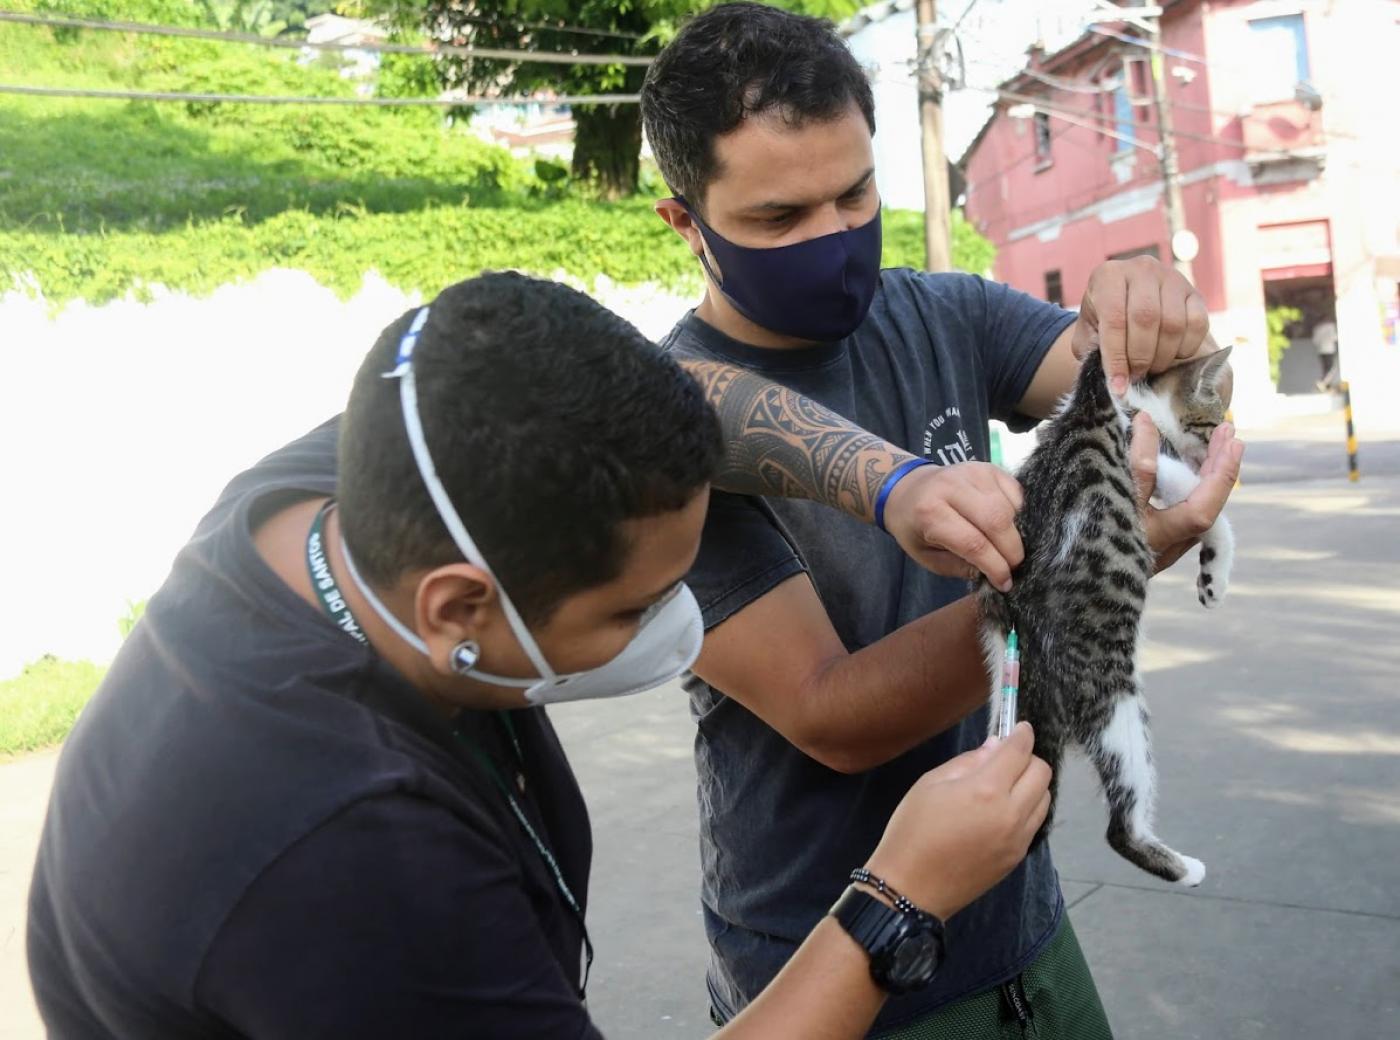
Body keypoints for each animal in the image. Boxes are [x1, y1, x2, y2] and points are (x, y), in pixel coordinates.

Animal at [980, 349, 1232, 884]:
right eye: (1214, 418)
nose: (1227, 431)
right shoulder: (1151, 455)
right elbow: (1205, 504)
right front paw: (1215, 573)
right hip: (1115, 700)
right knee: (1121, 824)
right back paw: (1181, 867)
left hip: (1002, 685)